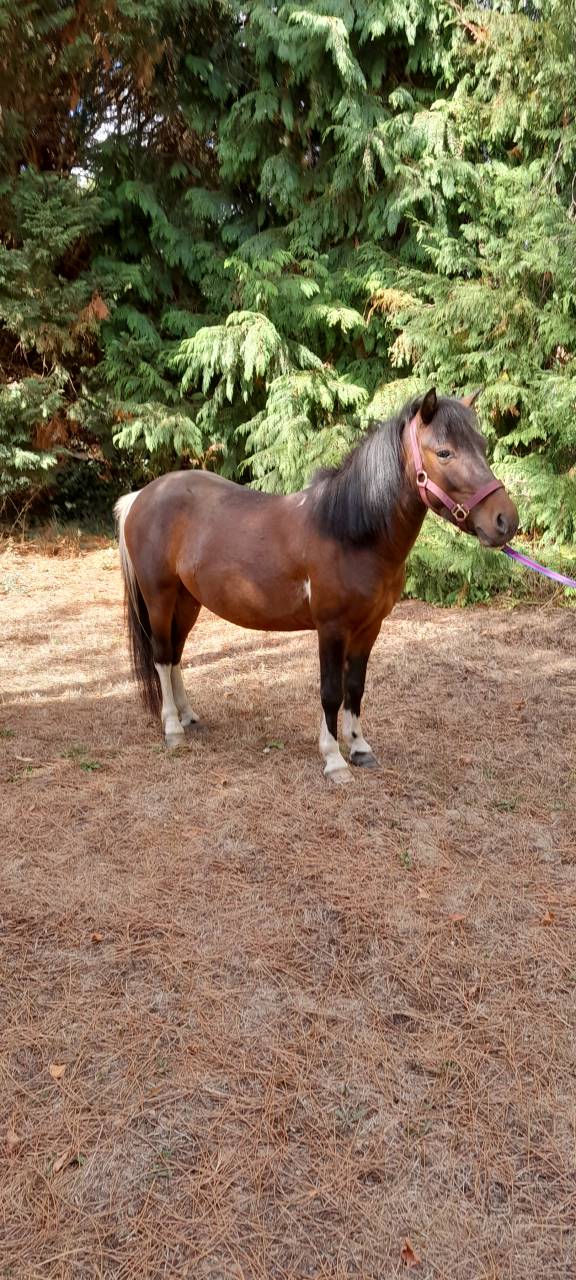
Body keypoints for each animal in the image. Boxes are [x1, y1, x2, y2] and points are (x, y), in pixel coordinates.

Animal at [115, 387, 518, 783]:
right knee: (162, 657)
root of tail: (140, 497)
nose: (506, 521)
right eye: (444, 452)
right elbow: (331, 692)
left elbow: (355, 687)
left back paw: (188, 717)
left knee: (176, 655)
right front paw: (334, 760)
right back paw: (172, 729)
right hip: (159, 597)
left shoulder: (370, 627)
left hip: (188, 601)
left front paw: (359, 748)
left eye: (481, 445)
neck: (348, 532)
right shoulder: (332, 628)